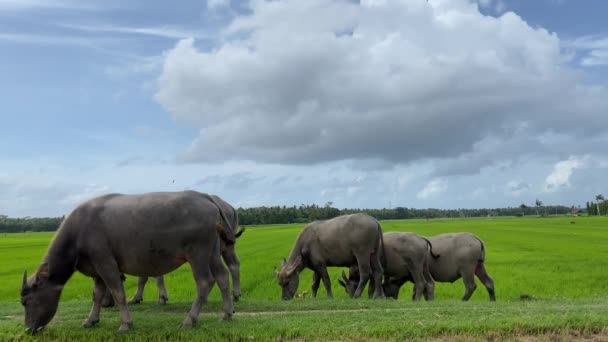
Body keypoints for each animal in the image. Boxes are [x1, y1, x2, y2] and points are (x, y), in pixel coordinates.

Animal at [101, 195, 243, 308]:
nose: (105, 304)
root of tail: (228, 207)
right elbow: (145, 277)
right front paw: (140, 298)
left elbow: (151, 277)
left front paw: (160, 298)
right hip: (227, 247)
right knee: (233, 265)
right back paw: (235, 295)